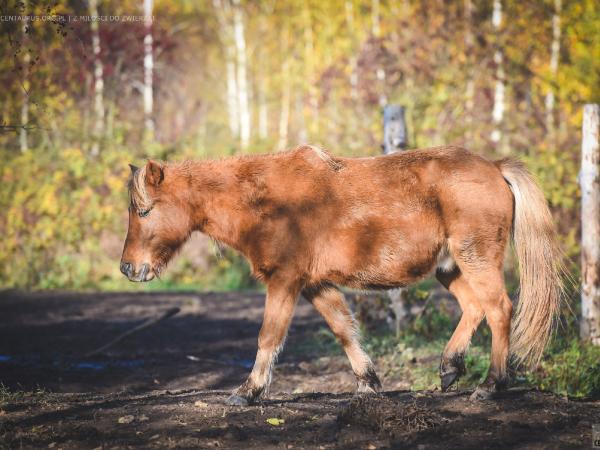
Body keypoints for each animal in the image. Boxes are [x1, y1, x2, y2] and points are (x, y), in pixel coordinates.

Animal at [120, 146, 564, 406]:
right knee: (475, 308)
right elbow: (344, 330)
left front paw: (249, 391)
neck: (265, 202)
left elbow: (269, 335)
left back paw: (491, 384)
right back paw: (450, 367)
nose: (128, 267)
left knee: (499, 309)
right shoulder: (315, 285)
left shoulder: (285, 281)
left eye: (144, 211)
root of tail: (495, 167)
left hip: (476, 259)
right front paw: (368, 381)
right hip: (450, 267)